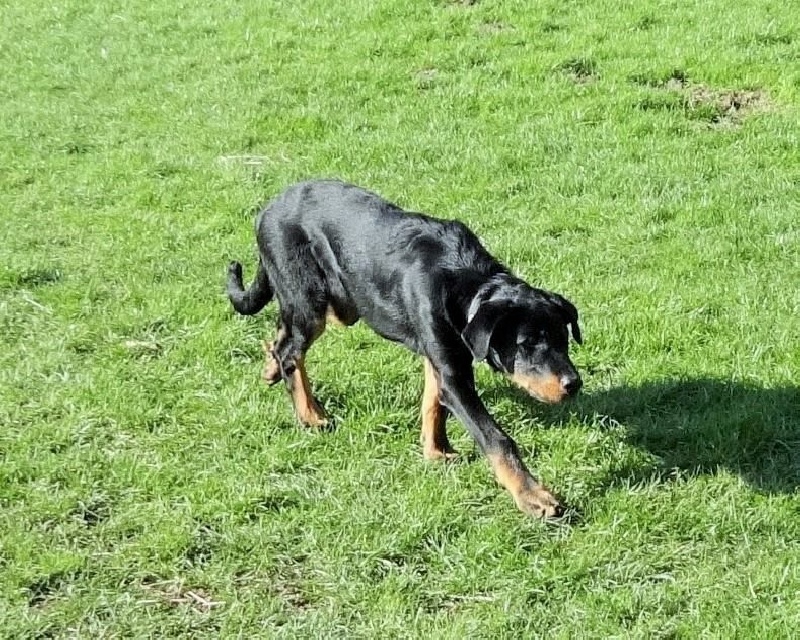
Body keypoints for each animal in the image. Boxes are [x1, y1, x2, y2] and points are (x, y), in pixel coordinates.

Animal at [225, 178, 580, 516]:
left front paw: (436, 451)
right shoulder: (453, 373)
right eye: (526, 344)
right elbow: (495, 437)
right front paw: (534, 497)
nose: (573, 384)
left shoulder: (441, 356)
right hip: (309, 298)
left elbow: (432, 404)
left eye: (564, 340)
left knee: (282, 334)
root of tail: (267, 209)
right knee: (291, 351)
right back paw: (311, 416)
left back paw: (271, 369)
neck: (465, 284)